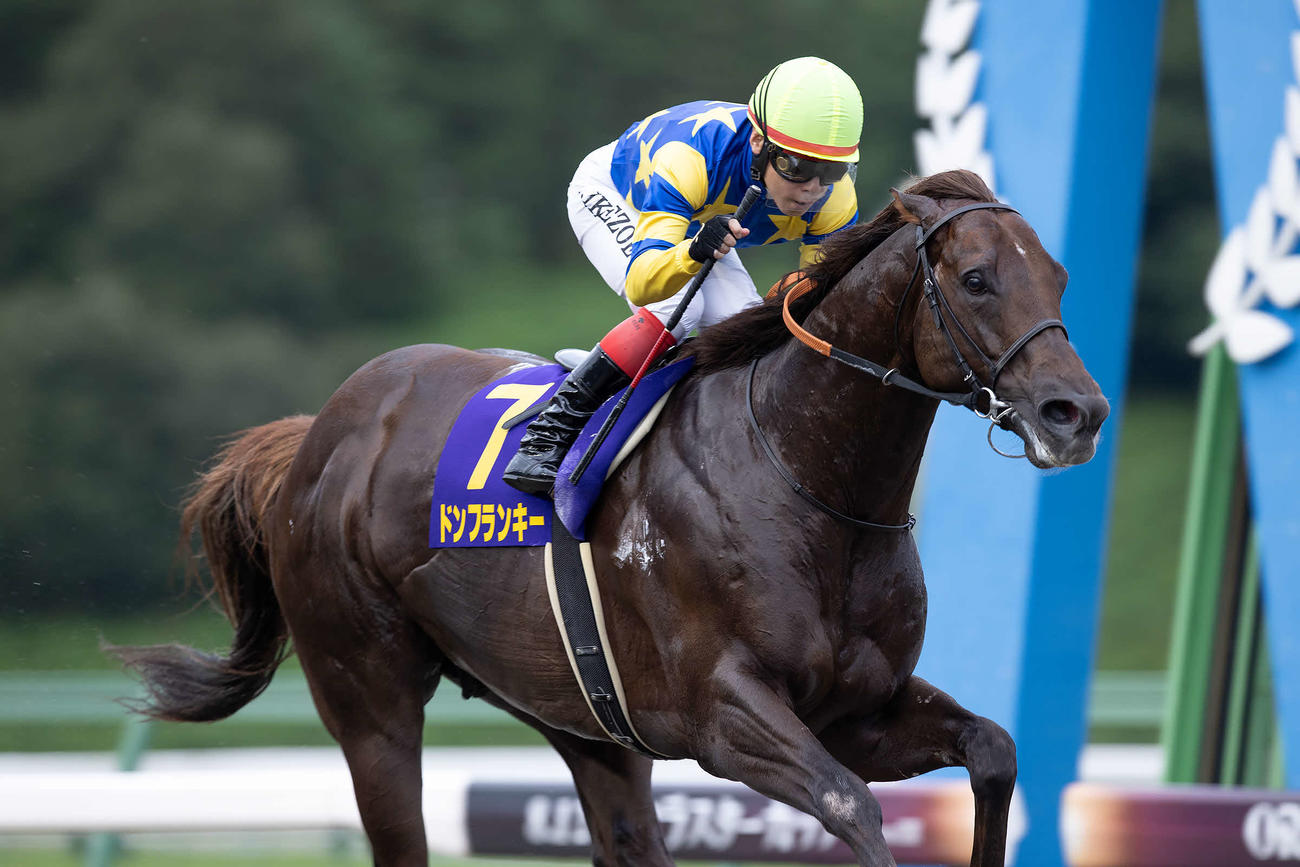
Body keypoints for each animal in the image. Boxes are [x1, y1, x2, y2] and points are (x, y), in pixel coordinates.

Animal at [113, 169, 1108, 867]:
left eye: (1061, 276)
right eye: (976, 279)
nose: (1078, 413)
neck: (808, 481)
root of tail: (318, 432)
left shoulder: (857, 712)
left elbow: (993, 750)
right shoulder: (725, 716)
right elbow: (850, 807)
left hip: (585, 718)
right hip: (369, 701)